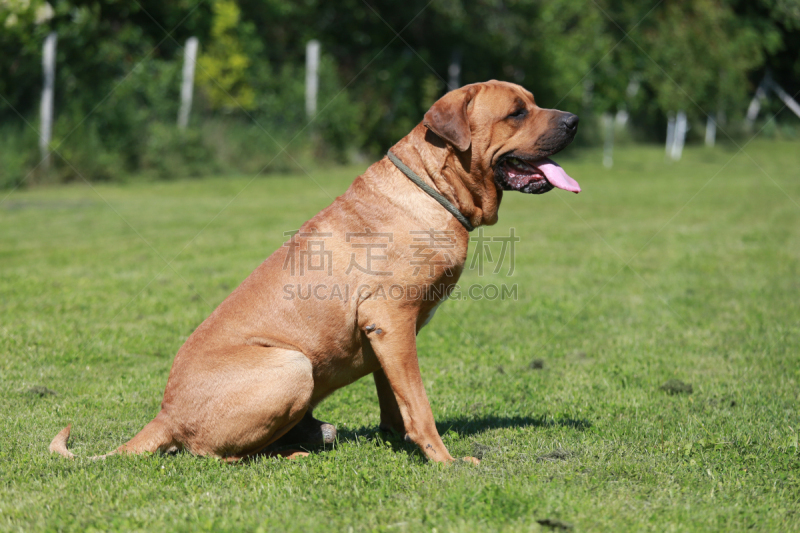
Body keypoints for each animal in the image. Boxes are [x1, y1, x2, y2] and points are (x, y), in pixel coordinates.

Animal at [50, 79, 580, 462]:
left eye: (534, 102)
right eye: (516, 112)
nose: (574, 120)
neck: (432, 186)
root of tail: (164, 416)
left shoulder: (386, 335)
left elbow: (395, 399)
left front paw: (396, 440)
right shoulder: (391, 321)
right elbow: (419, 404)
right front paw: (446, 462)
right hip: (291, 365)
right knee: (214, 455)